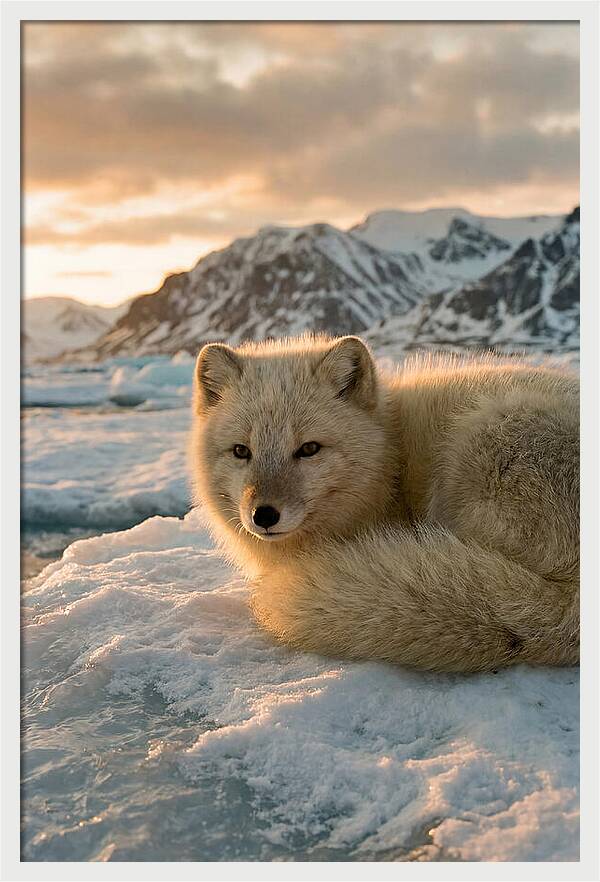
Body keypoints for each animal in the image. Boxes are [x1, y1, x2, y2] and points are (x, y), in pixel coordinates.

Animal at [189, 334, 579, 673]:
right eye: (241, 451)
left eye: (309, 449)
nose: (264, 515)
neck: (390, 458)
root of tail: (569, 608)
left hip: (479, 443)